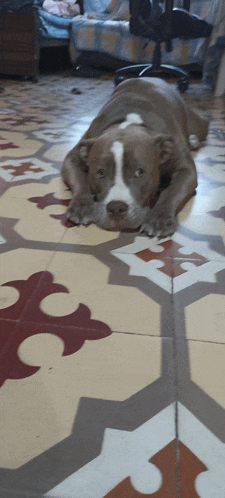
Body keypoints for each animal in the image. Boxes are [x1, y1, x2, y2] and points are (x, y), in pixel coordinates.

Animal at [62, 78, 209, 239]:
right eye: (101, 172)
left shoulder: (186, 169)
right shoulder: (73, 157)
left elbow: (172, 191)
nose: (116, 208)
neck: (129, 122)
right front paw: (81, 205)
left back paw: (193, 140)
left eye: (140, 172)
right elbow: (80, 181)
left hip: (197, 124)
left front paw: (159, 217)